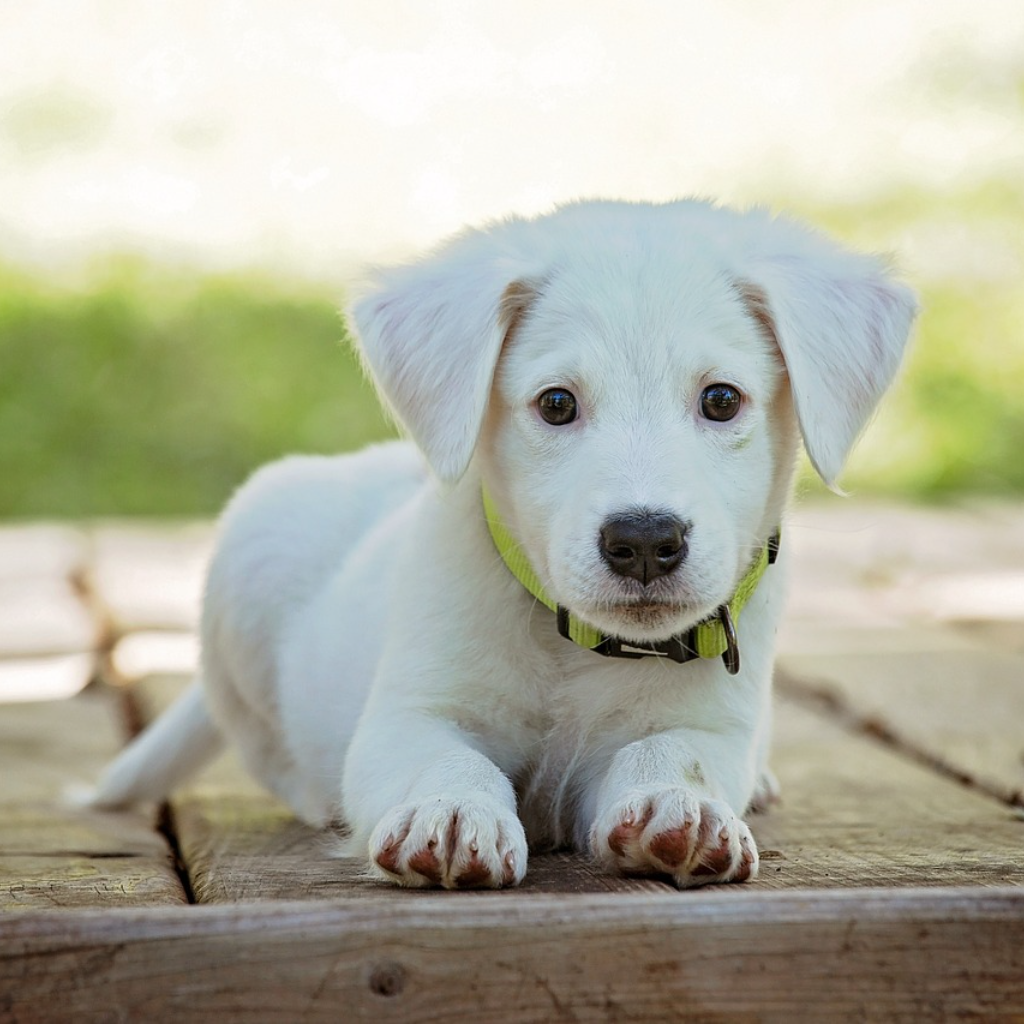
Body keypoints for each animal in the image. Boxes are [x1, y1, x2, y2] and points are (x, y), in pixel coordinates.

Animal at [92, 199, 917, 888]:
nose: (645, 541)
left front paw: (677, 807)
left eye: (721, 400)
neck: (574, 647)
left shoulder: (711, 725)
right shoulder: (410, 715)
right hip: (250, 556)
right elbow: (447, 759)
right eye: (555, 404)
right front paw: (452, 813)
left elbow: (671, 752)